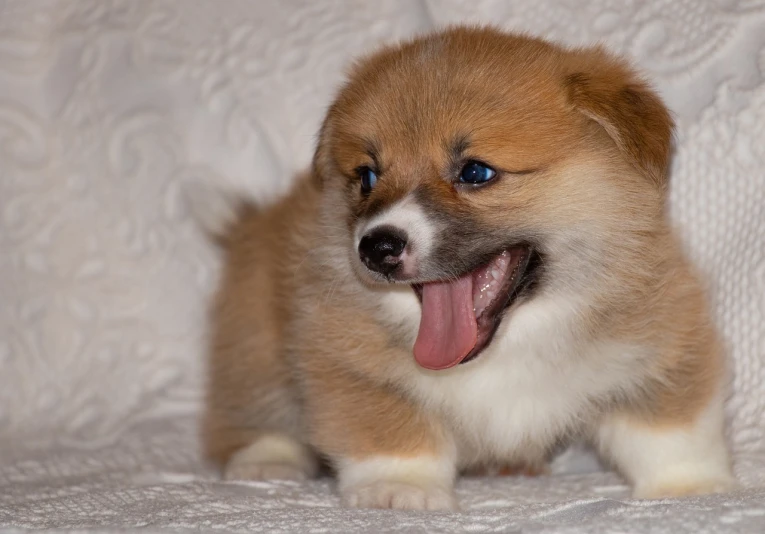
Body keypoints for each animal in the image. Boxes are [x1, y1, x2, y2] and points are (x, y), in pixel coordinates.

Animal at [195, 27, 736, 512]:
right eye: (367, 177)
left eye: (475, 172)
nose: (376, 246)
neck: (509, 344)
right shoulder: (346, 362)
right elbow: (390, 428)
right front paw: (400, 488)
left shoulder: (661, 345)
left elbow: (669, 426)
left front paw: (688, 487)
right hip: (256, 344)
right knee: (250, 412)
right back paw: (267, 461)